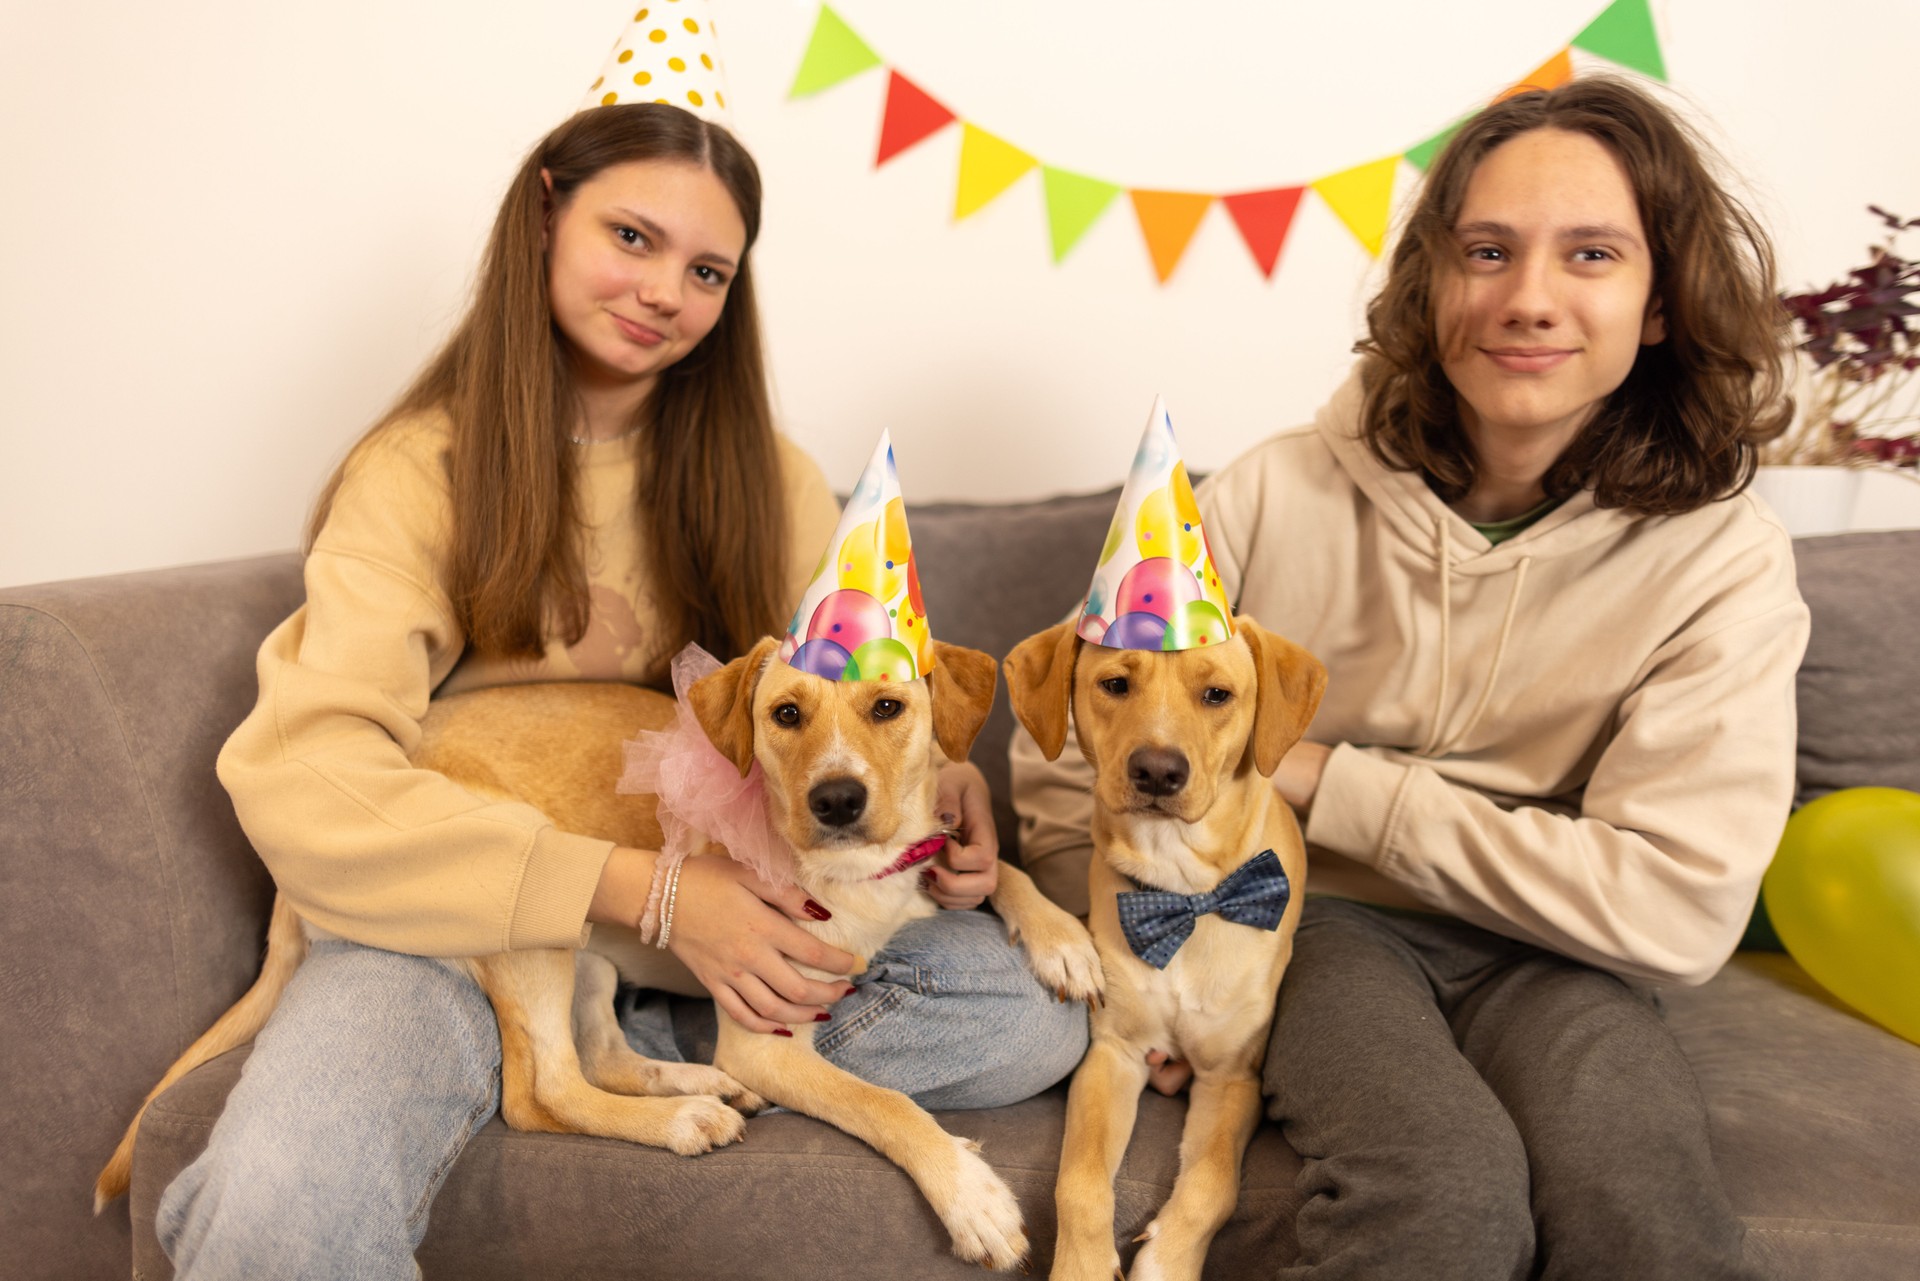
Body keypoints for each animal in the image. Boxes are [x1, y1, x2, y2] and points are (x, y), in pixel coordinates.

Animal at [1006, 618, 1320, 1281]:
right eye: (1115, 684)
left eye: (1217, 695)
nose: (1156, 770)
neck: (1183, 896)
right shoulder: (1114, 1055)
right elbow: (1080, 1180)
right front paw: (1082, 1266)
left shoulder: (1233, 1080)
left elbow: (1212, 1182)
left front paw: (1168, 1258)